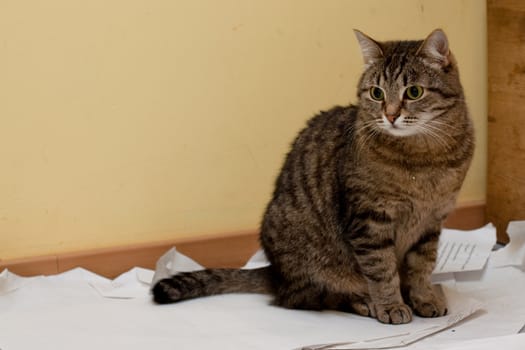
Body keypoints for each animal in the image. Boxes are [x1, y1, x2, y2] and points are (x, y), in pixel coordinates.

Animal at [150, 29, 470, 326]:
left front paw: (424, 297)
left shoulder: (431, 222)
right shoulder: (368, 221)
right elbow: (381, 271)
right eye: (376, 93)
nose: (390, 116)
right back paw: (363, 301)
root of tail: (276, 273)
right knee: (306, 297)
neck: (423, 160)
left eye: (413, 92)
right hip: (309, 260)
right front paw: (390, 305)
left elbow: (421, 267)